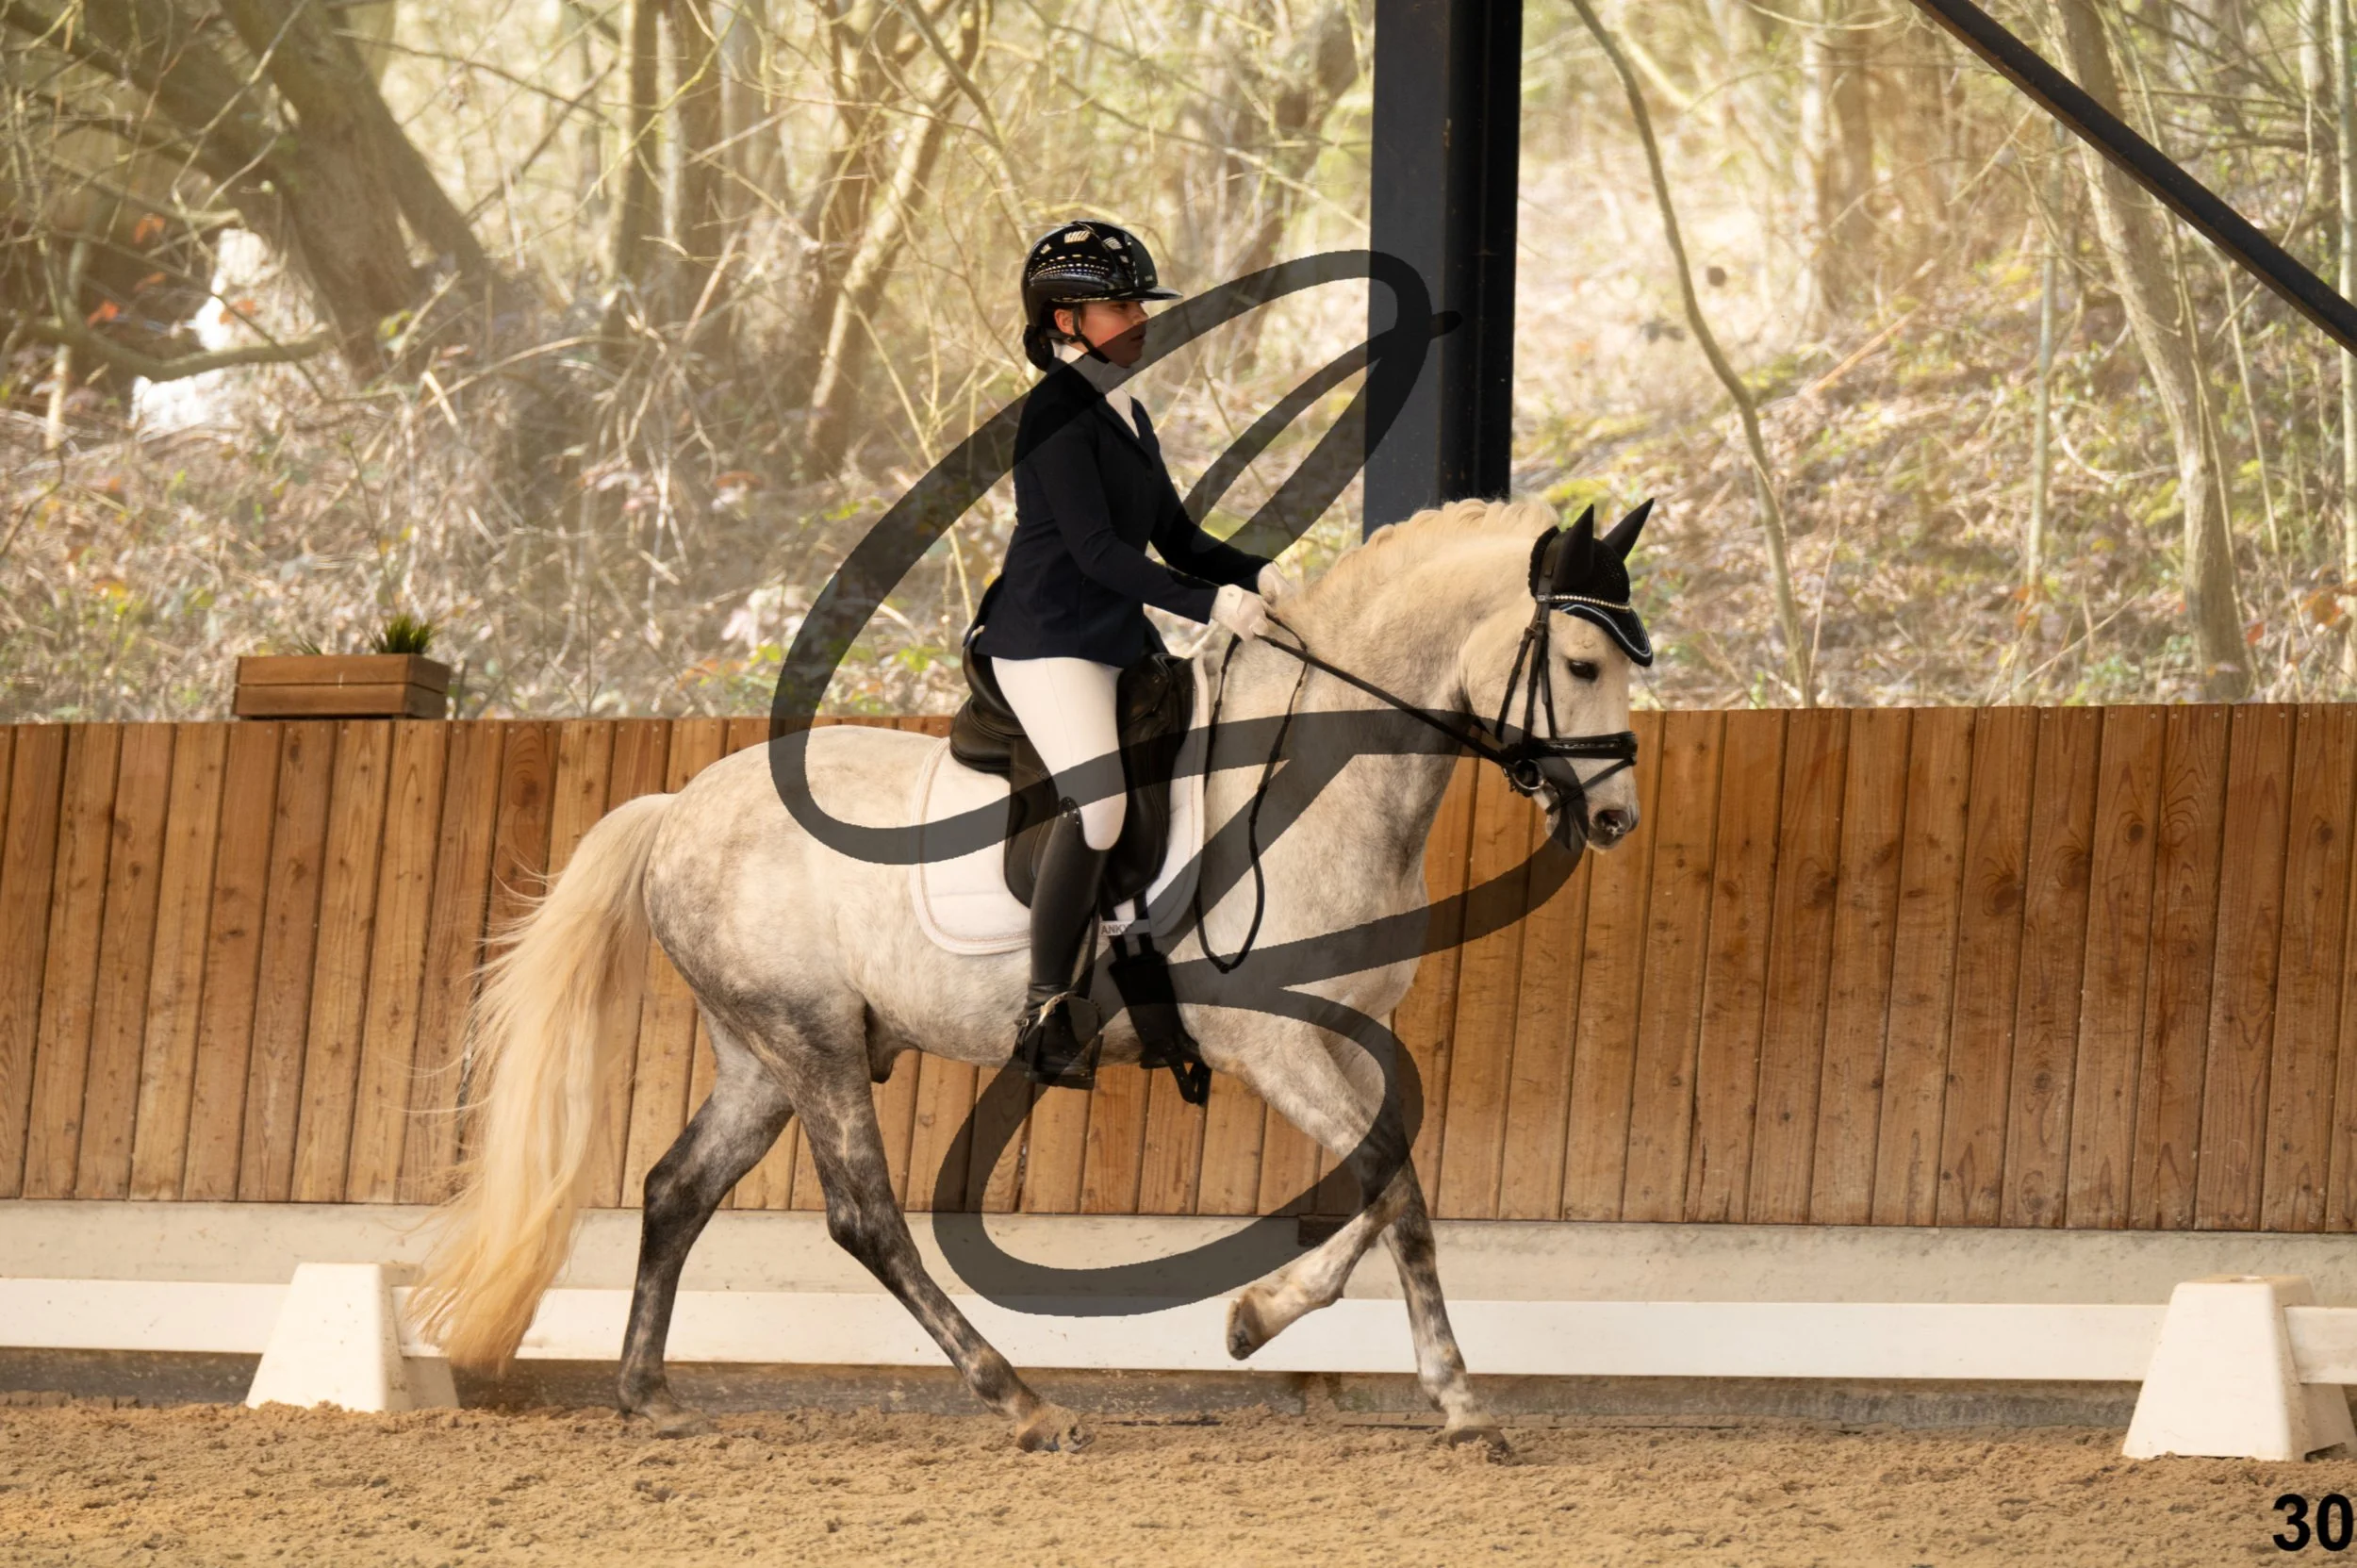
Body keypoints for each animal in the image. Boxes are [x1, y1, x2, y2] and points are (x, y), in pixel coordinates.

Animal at [412, 493, 1648, 1454]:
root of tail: (679, 806)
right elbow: (1395, 1182)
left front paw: (1261, 1318)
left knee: (676, 1188)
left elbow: (1394, 1180)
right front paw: (1457, 1400)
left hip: (762, 1054)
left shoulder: (1340, 1034)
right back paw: (1023, 1401)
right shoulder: (1272, 1039)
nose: (1617, 820)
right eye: (1580, 663)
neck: (1313, 775)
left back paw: (649, 1396)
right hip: (811, 1042)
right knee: (866, 1220)